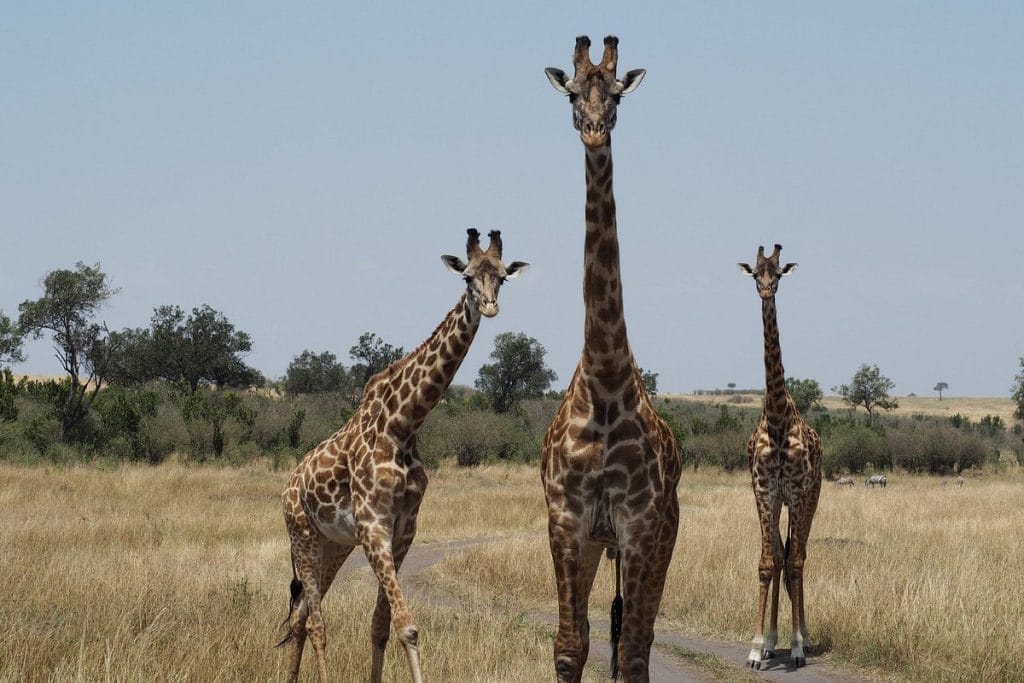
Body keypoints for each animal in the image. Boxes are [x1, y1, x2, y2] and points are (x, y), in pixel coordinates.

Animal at [279, 229, 528, 683]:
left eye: (502, 277)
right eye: (467, 277)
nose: (489, 306)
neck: (404, 425)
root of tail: (289, 485)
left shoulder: (404, 528)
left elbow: (381, 626)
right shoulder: (373, 525)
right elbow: (408, 626)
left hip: (332, 544)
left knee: (302, 615)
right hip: (301, 532)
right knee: (317, 621)